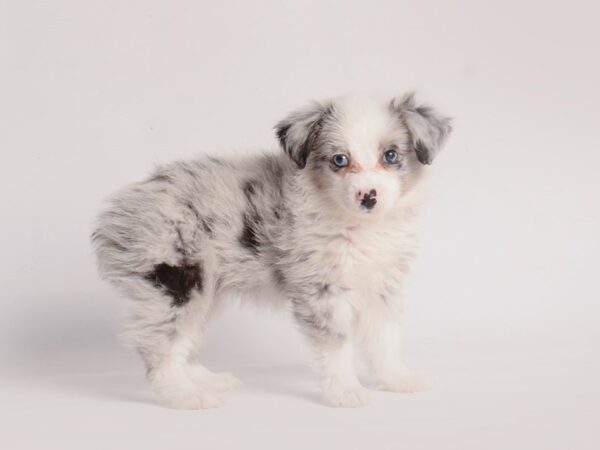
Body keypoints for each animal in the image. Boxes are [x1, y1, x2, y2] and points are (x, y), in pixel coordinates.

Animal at [91, 93, 452, 410]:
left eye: (391, 156)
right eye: (340, 160)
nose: (368, 196)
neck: (359, 226)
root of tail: (120, 211)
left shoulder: (381, 287)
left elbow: (384, 339)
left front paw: (397, 380)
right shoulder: (322, 290)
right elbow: (335, 346)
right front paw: (345, 392)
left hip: (205, 293)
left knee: (183, 343)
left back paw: (207, 381)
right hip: (177, 281)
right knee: (158, 347)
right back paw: (185, 396)